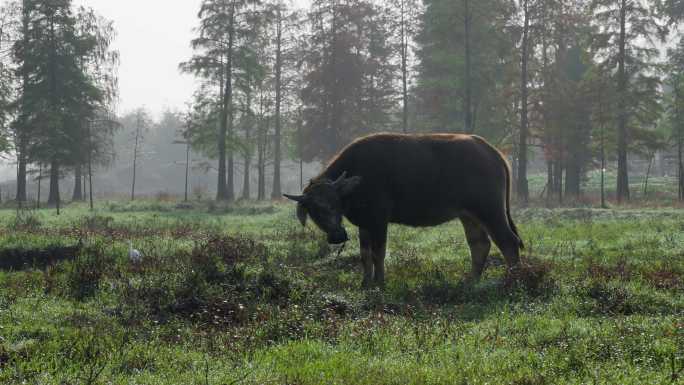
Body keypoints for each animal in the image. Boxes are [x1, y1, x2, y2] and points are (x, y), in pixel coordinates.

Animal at [284, 132, 524, 284]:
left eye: (333, 203)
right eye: (314, 211)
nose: (337, 236)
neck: (357, 180)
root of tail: (492, 151)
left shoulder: (379, 220)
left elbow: (378, 253)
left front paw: (380, 282)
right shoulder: (365, 224)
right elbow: (364, 255)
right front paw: (365, 282)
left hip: (490, 210)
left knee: (508, 243)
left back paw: (514, 281)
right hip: (469, 215)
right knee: (480, 245)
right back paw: (470, 282)